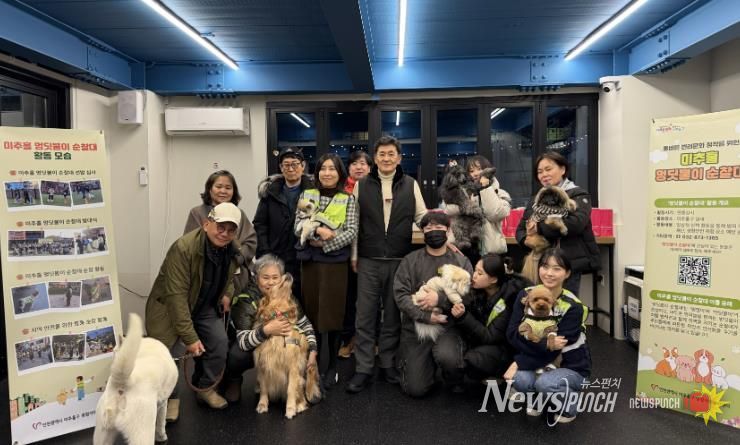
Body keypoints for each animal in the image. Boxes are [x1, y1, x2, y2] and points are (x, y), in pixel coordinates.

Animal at [93, 313, 177, 445]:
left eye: (114, 351)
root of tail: (124, 381)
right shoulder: (163, 403)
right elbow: (161, 423)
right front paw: (162, 437)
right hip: (142, 433)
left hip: (102, 435)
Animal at [254, 273, 322, 419]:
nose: (289, 274)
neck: (278, 312)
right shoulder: (263, 363)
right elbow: (263, 388)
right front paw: (262, 404)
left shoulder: (293, 366)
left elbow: (291, 389)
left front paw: (290, 409)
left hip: (303, 376)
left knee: (300, 392)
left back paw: (300, 405)